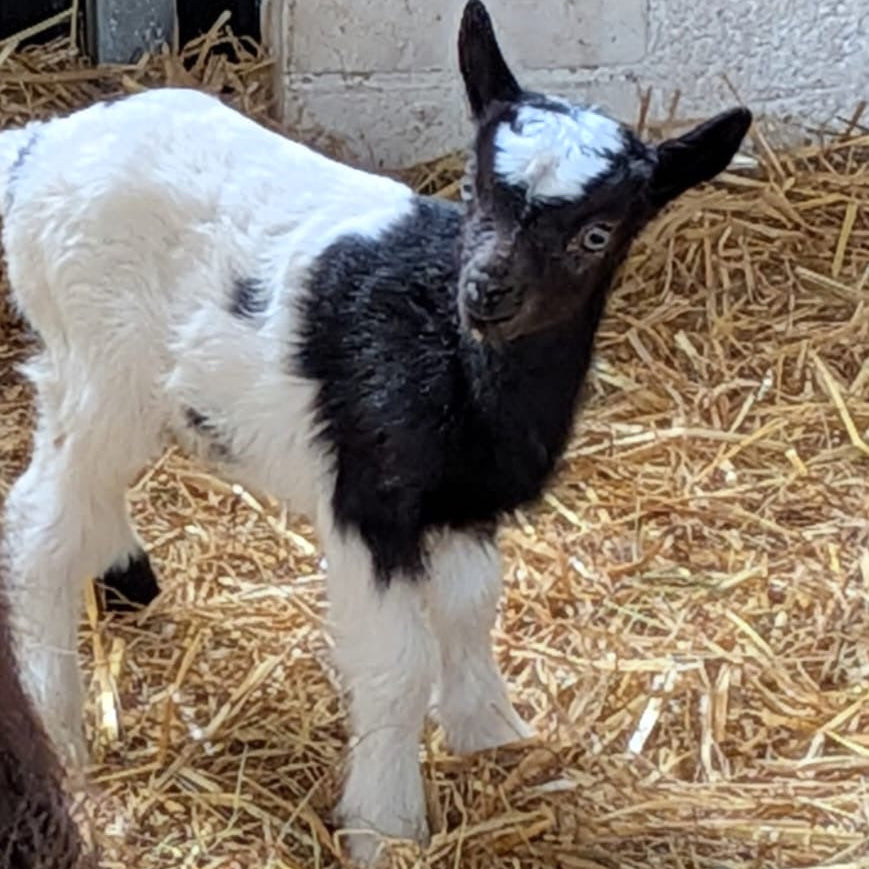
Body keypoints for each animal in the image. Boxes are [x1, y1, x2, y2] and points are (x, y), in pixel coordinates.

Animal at [0, 1, 751, 863]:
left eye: (596, 234)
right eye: (471, 187)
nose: (485, 290)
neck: (454, 358)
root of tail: (41, 146)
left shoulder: (463, 502)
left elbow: (471, 607)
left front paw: (494, 736)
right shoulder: (371, 495)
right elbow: (395, 663)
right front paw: (385, 824)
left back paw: (121, 571)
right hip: (106, 362)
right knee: (42, 521)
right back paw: (60, 728)